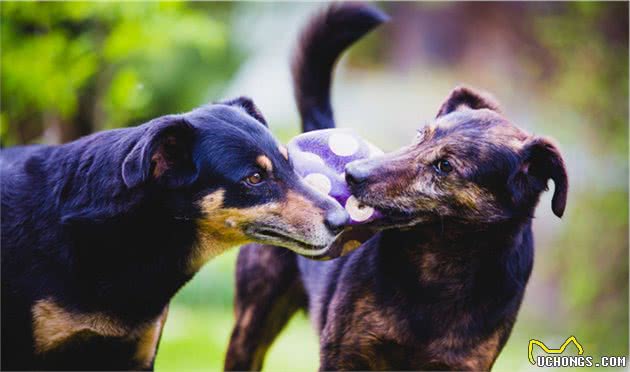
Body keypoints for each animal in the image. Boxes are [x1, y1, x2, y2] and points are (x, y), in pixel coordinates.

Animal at [226, 3, 568, 372]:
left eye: (445, 166)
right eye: (420, 135)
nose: (351, 174)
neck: (440, 269)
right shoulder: (344, 355)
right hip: (253, 322)